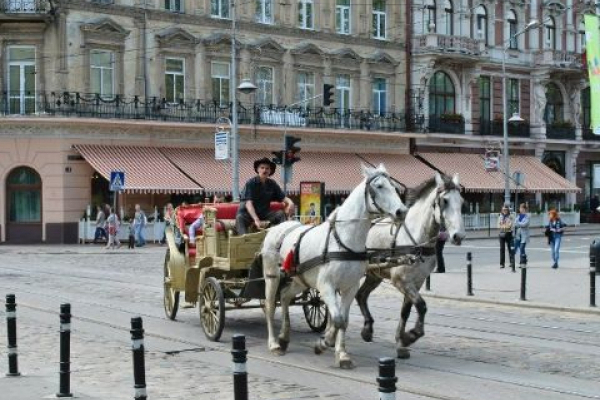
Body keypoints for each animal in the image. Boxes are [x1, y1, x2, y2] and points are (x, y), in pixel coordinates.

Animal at [260, 163, 406, 368]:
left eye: (393, 186)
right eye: (379, 186)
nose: (402, 211)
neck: (343, 240)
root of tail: (276, 228)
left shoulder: (350, 287)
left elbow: (343, 320)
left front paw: (342, 354)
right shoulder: (326, 286)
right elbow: (336, 319)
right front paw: (324, 342)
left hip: (300, 279)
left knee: (286, 296)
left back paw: (284, 337)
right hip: (272, 276)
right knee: (271, 305)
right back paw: (273, 343)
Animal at [356, 172, 464, 360]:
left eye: (462, 202)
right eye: (444, 201)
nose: (458, 236)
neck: (416, 238)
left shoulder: (416, 282)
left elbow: (405, 310)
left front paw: (401, 342)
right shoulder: (401, 280)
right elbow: (421, 305)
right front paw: (411, 336)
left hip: (374, 274)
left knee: (361, 295)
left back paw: (367, 329)